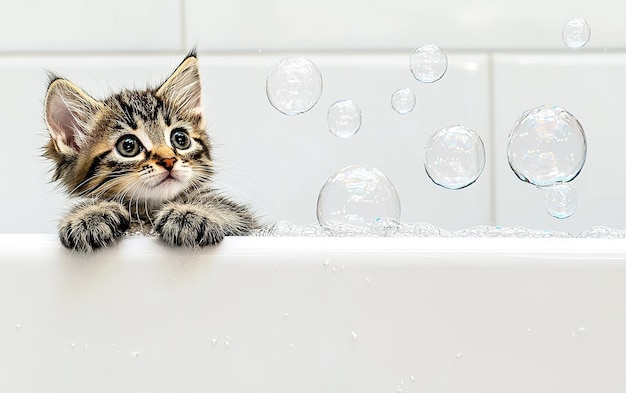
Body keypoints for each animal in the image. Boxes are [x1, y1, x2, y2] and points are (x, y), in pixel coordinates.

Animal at [42, 49, 256, 251]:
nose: (169, 160)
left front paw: (190, 213)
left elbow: (225, 208)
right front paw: (90, 214)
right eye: (128, 146)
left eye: (180, 139)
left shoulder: (250, 225)